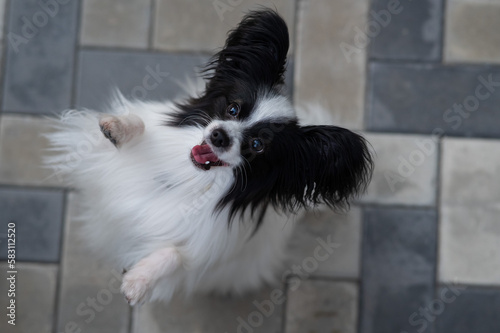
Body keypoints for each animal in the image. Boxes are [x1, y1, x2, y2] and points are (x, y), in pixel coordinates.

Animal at [47, 9, 374, 304]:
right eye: (233, 109)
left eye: (257, 145)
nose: (219, 135)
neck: (191, 177)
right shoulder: (102, 157)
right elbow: (138, 126)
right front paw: (117, 127)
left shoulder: (199, 255)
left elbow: (174, 255)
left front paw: (139, 281)